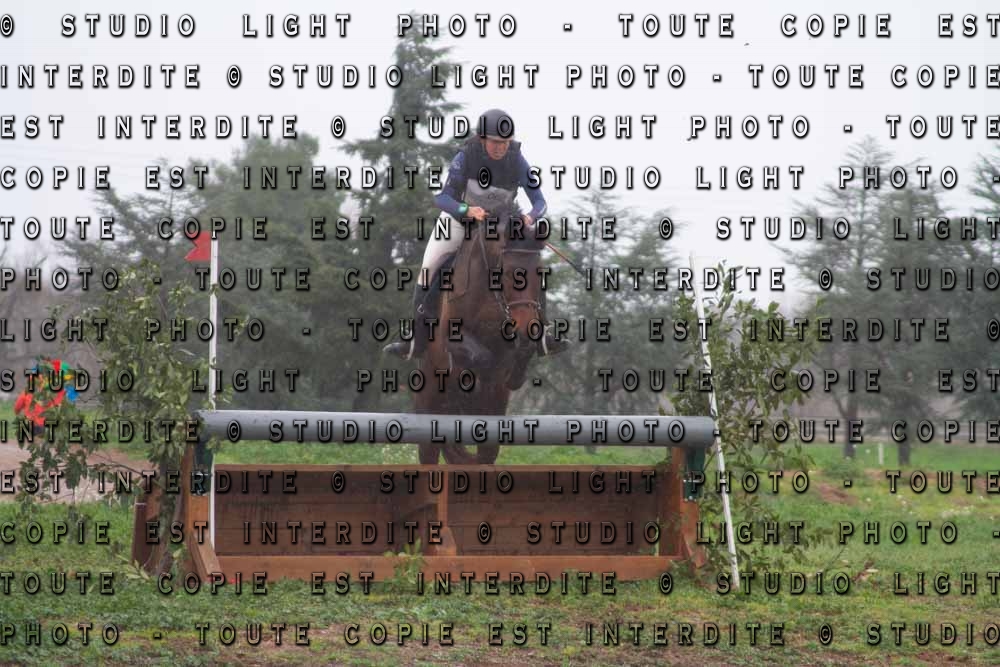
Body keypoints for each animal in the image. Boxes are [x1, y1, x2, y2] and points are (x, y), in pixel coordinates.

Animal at [415, 202, 547, 464]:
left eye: (540, 274)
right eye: (508, 273)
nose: (526, 330)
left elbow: (516, 356)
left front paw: (513, 377)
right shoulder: (451, 339)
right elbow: (481, 357)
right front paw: (472, 386)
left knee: (484, 455)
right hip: (428, 408)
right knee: (429, 453)